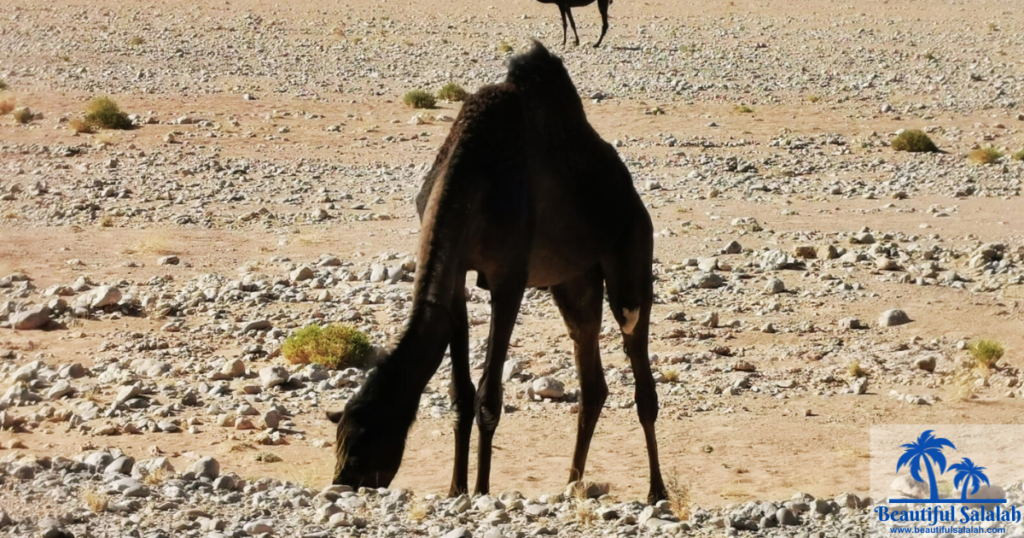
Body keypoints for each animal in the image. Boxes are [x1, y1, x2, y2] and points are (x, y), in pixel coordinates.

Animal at [323, 40, 667, 504]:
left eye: (364, 448)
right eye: (340, 439)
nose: (341, 482)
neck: (471, 179)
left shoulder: (508, 279)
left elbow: (488, 396)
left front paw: (482, 490)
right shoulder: (457, 275)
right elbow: (460, 392)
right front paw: (456, 489)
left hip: (631, 252)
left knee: (637, 350)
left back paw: (657, 491)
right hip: (573, 281)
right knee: (592, 377)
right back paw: (571, 483)